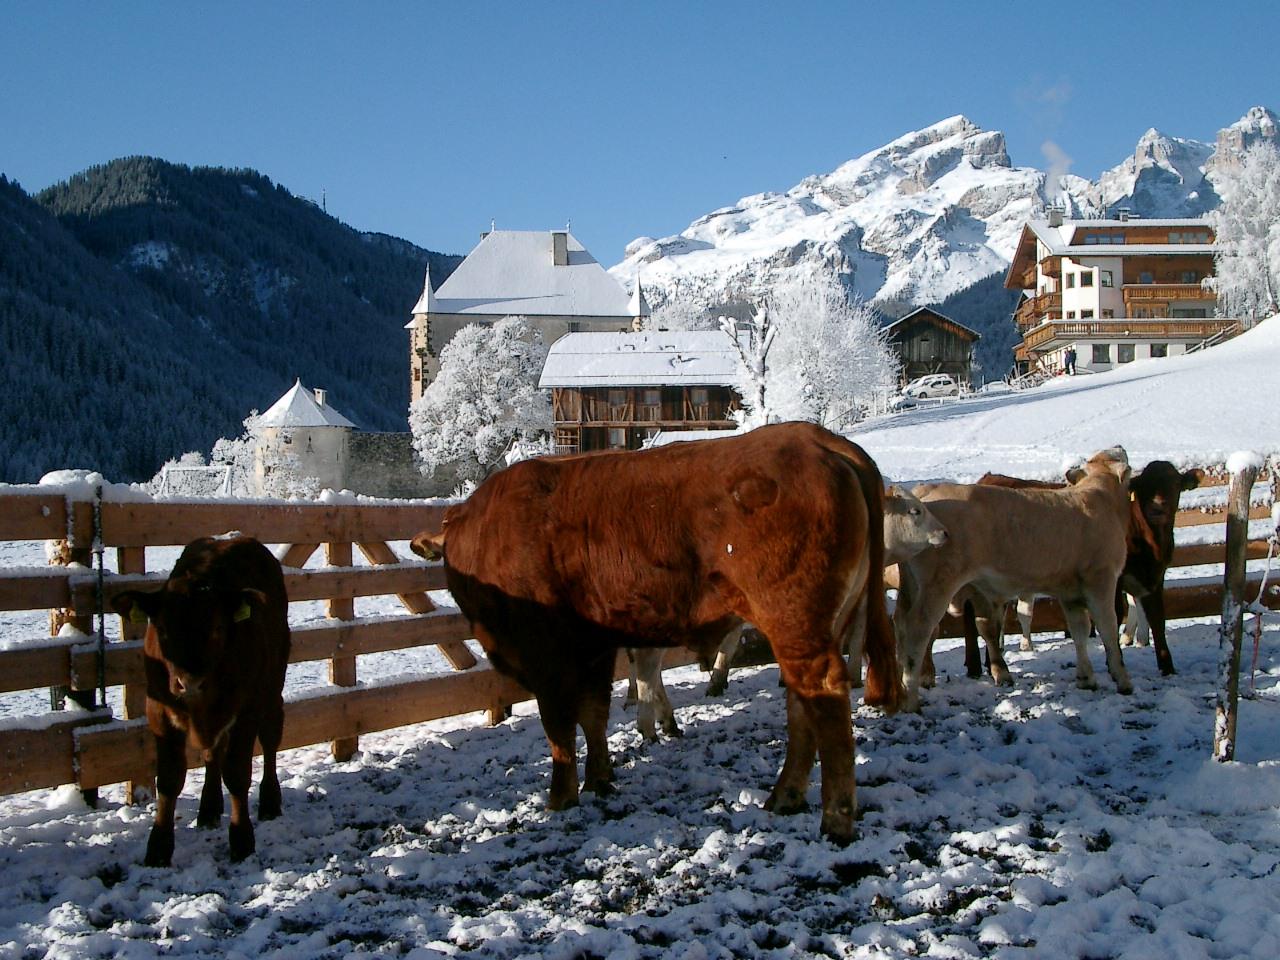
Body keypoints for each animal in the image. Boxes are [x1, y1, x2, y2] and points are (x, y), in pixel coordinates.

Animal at [112, 537, 290, 870]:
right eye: (162, 629)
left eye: (217, 629)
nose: (190, 683)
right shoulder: (158, 712)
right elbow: (169, 779)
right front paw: (158, 848)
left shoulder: (246, 709)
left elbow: (237, 772)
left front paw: (241, 840)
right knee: (212, 753)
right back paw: (208, 808)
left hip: (272, 688)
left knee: (270, 739)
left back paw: (270, 801)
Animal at [409, 424, 901, 844]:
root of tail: (816, 438)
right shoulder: (594, 649)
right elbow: (595, 714)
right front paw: (601, 779)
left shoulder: (549, 655)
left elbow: (559, 727)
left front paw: (560, 796)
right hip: (811, 628)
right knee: (803, 701)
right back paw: (785, 796)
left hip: (795, 620)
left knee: (824, 696)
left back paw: (834, 820)